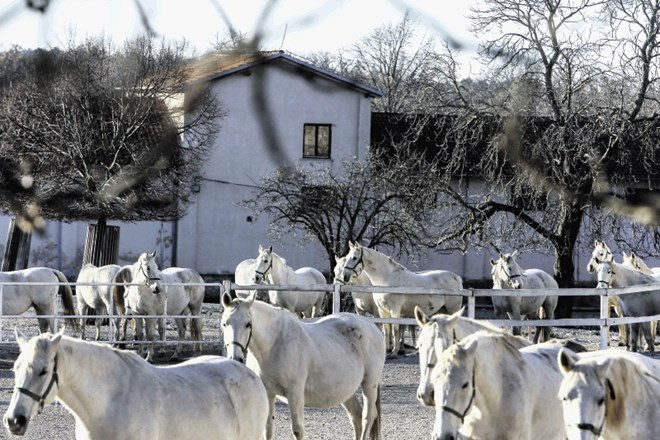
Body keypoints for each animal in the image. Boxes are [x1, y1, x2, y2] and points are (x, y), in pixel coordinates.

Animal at [223, 290, 386, 438]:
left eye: (248, 324)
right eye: (224, 324)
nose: (235, 357)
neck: (274, 343)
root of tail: (371, 325)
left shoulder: (295, 393)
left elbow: (297, 430)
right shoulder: (268, 393)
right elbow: (268, 430)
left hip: (369, 383)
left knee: (368, 416)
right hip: (346, 390)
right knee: (356, 416)